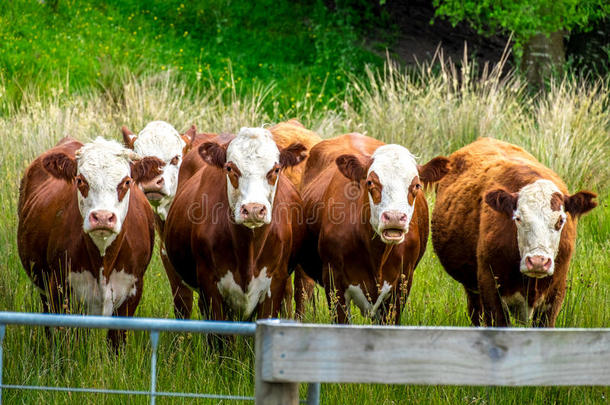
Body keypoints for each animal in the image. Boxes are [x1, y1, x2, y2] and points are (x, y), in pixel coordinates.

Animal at [17, 137, 159, 346]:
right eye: (80, 180)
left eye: (126, 182)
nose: (102, 217)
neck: (103, 261)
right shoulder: (59, 289)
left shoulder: (132, 292)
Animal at [296, 134, 448, 324]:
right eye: (370, 182)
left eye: (416, 185)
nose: (394, 217)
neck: (377, 254)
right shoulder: (333, 281)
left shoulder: (402, 283)